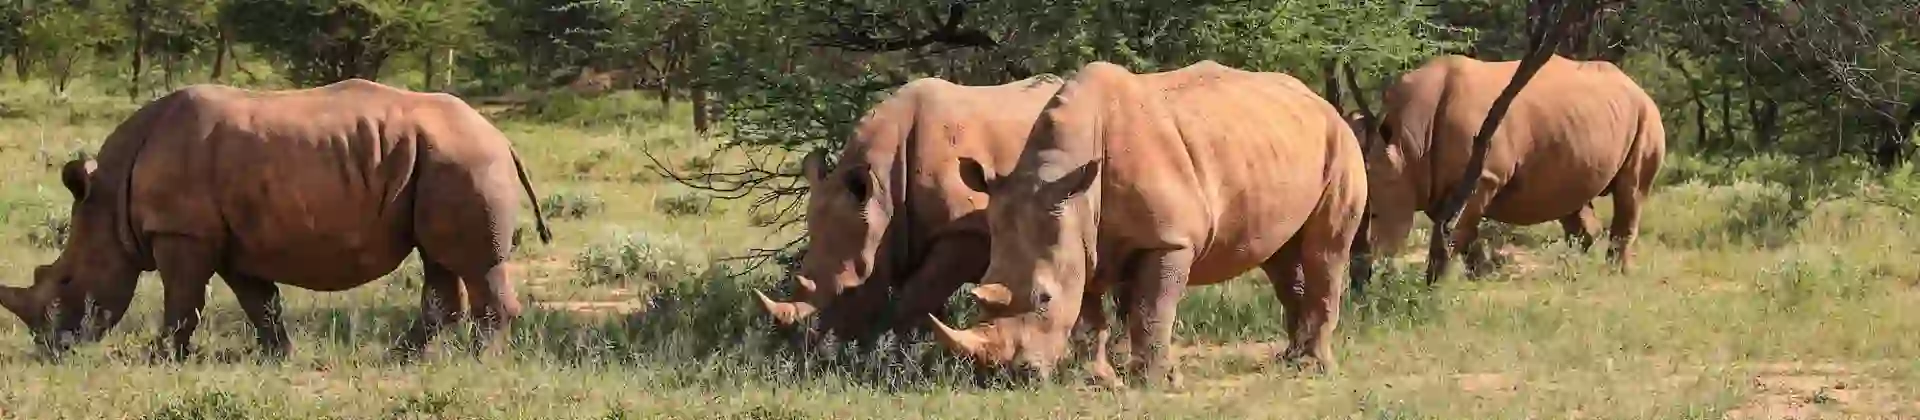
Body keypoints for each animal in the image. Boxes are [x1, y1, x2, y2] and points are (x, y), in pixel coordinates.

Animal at [0, 79, 553, 360]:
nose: (52, 349)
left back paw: (476, 361)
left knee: (472, 264)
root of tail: (501, 137)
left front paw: (158, 359)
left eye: (64, 281)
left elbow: (182, 300)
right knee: (438, 260)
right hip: (439, 160)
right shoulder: (228, 239)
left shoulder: (182, 231)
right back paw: (406, 357)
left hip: (465, 161)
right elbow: (259, 302)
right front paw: (277, 356)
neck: (111, 197)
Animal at [755, 76, 1065, 345]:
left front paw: (899, 349)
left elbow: (918, 294)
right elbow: (923, 295)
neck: (882, 188)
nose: (818, 349)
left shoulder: (964, 230)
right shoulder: (904, 230)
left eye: (850, 290)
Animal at [930, 61, 1367, 388]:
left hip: (1342, 142)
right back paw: (1291, 360)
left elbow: (1152, 308)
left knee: (1325, 251)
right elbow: (1089, 315)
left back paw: (1315, 367)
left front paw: (1156, 382)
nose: (1008, 376)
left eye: (1043, 299)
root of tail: (1318, 100)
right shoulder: (1081, 235)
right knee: (1279, 258)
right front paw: (1100, 380)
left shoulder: (1169, 240)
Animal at [1348, 55, 1665, 280]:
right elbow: (1458, 231)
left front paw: (1441, 282)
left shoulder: (1481, 177)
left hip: (1646, 115)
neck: (1409, 144)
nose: (1359, 273)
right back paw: (1578, 269)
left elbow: (1456, 231)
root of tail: (1636, 86)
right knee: (1573, 201)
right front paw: (1479, 275)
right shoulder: (1436, 184)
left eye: (1375, 215)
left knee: (1631, 191)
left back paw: (1615, 274)